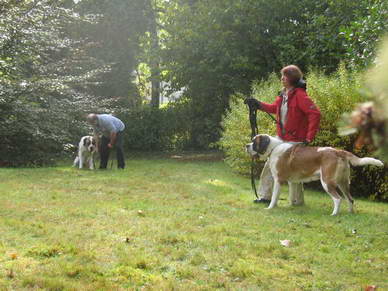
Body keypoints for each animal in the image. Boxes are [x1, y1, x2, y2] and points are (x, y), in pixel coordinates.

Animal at [247, 136, 384, 216]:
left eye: (254, 142)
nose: (246, 145)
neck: (273, 147)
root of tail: (338, 151)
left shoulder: (278, 180)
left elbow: (275, 196)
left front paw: (270, 208)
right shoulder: (293, 182)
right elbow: (292, 196)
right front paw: (290, 206)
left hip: (327, 182)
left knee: (338, 198)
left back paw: (334, 214)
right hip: (343, 183)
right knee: (350, 199)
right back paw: (350, 213)